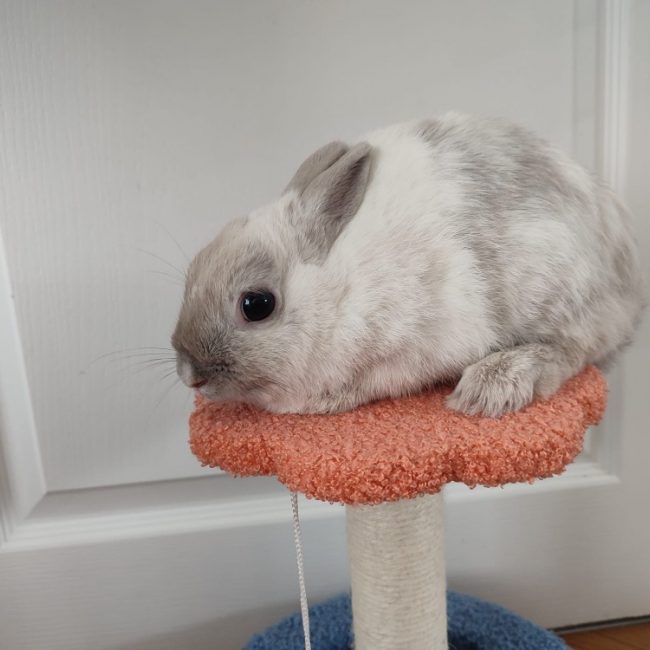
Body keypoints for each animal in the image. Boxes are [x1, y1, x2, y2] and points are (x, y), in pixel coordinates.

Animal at [172, 113, 645, 417]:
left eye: (257, 305)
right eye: (192, 271)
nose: (189, 375)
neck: (342, 288)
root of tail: (628, 284)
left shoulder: (410, 348)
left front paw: (321, 402)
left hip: (559, 288)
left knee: (573, 351)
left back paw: (491, 386)